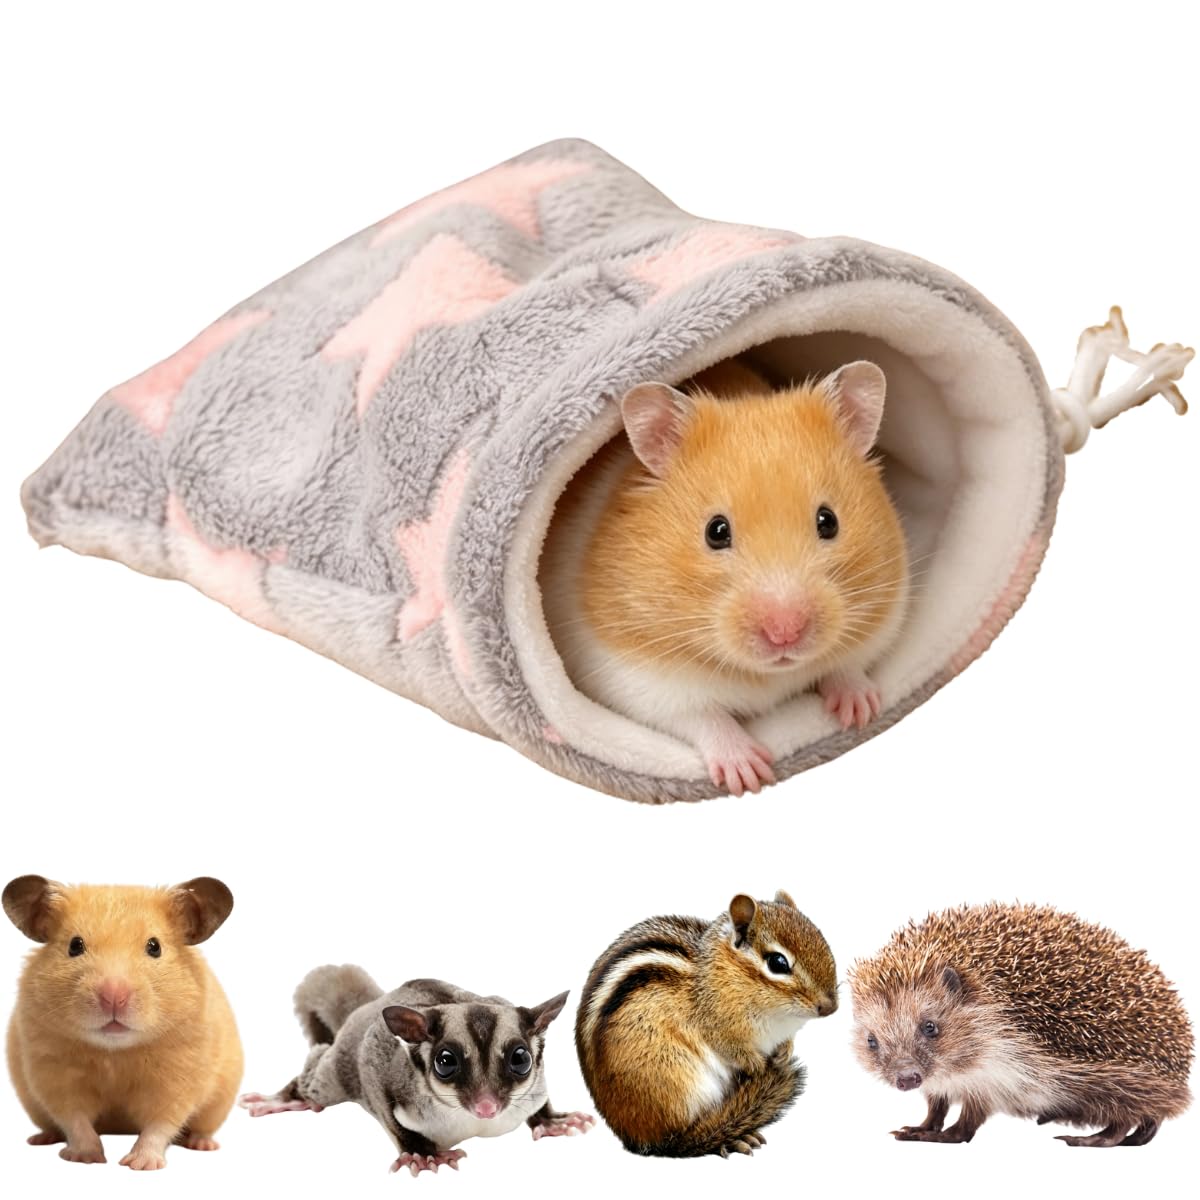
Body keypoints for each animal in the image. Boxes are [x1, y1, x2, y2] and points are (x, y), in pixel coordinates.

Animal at [3, 874, 242, 1170]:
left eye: (155, 946)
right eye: (75, 945)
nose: (113, 997)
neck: (115, 1051)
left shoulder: (177, 1079)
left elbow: (159, 1124)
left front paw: (141, 1164)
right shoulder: (53, 1072)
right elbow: (75, 1119)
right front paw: (86, 1158)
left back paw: (203, 1144)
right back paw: (41, 1138)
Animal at [239, 966, 594, 1176]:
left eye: (520, 1059)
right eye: (446, 1062)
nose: (487, 1106)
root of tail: (368, 1005)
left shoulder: (536, 1088)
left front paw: (553, 1122)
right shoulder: (378, 1065)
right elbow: (387, 1111)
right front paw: (422, 1154)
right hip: (336, 1071)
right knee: (320, 1076)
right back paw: (286, 1098)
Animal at [541, 357, 909, 795]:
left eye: (828, 521)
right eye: (716, 532)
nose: (785, 634)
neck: (767, 675)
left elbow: (847, 666)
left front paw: (862, 710)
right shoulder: (637, 677)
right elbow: (702, 718)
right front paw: (750, 773)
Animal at [576, 891, 837, 1157]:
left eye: (822, 941)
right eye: (778, 963)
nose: (830, 1007)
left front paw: (785, 1052)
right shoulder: (715, 1026)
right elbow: (731, 1049)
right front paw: (758, 1064)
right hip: (671, 1077)